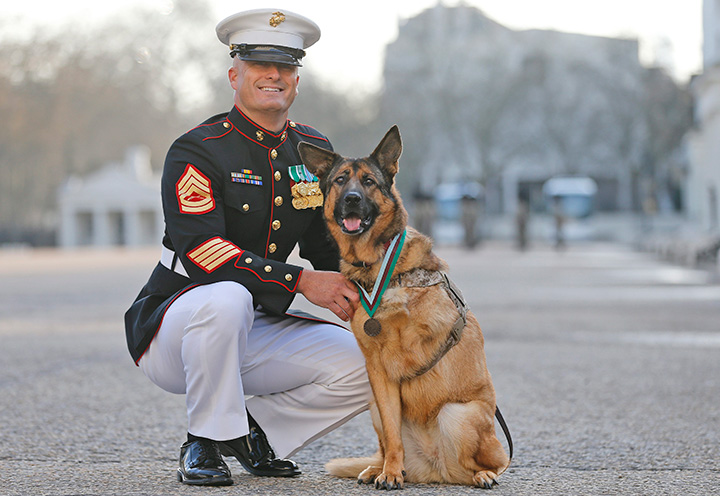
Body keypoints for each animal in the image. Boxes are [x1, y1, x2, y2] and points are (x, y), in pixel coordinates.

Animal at [298, 126, 512, 490]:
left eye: (369, 181)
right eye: (340, 180)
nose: (351, 199)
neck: (375, 264)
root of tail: (436, 469)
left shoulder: (419, 341)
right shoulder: (378, 374)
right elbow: (392, 433)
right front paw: (391, 472)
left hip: (458, 414)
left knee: (490, 464)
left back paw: (482, 474)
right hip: (373, 404)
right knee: (387, 443)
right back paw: (381, 468)